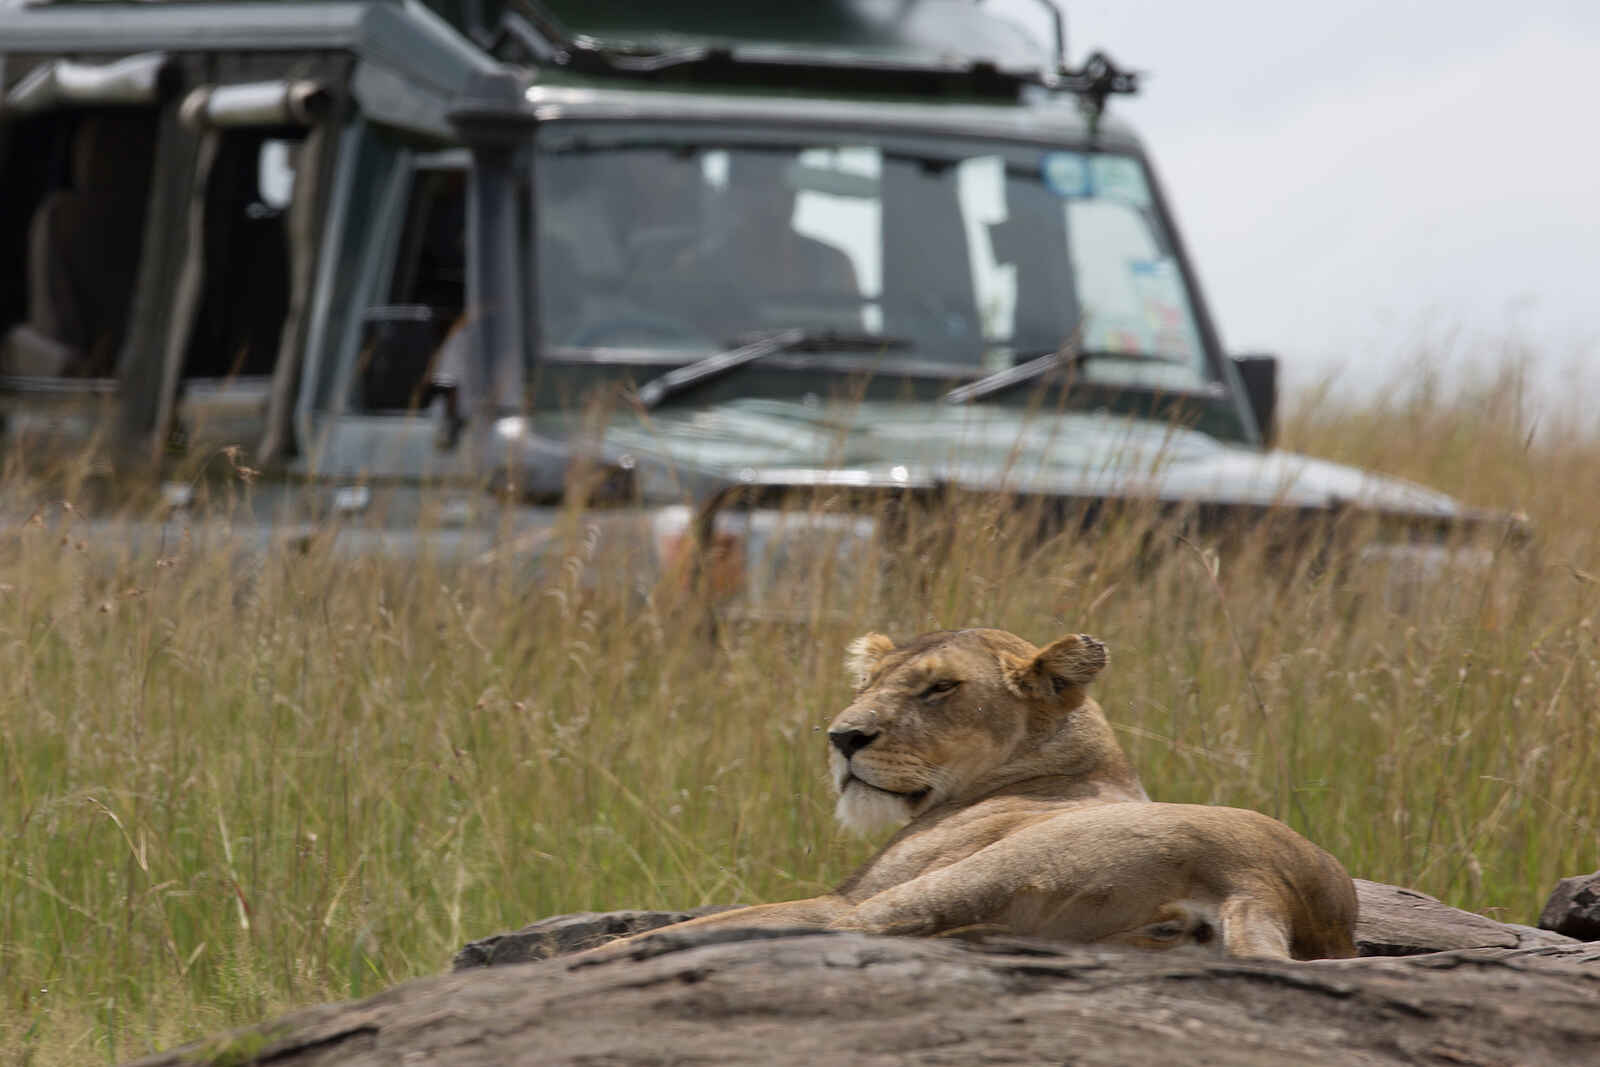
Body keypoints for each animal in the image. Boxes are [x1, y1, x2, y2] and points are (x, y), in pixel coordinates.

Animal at [595, 628, 1358, 961]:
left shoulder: (855, 890)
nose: (842, 736)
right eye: (867, 683)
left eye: (940, 687)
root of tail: (1266, 881)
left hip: (954, 885)